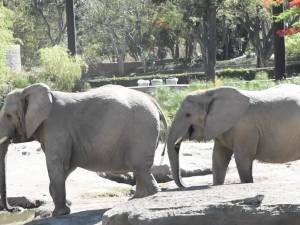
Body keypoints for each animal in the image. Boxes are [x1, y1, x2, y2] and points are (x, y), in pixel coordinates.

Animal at [0, 83, 168, 216]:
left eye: (8, 116)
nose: (15, 209)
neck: (27, 90)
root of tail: (153, 100)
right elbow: (66, 166)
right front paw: (65, 206)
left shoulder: (56, 128)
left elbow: (57, 163)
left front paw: (59, 214)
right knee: (139, 169)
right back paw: (136, 199)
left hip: (142, 129)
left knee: (140, 167)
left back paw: (147, 197)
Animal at [169, 84, 300, 188]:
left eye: (188, 115)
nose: (186, 186)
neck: (209, 93)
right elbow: (218, 158)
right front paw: (217, 185)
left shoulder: (245, 129)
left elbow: (242, 158)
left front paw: (247, 183)